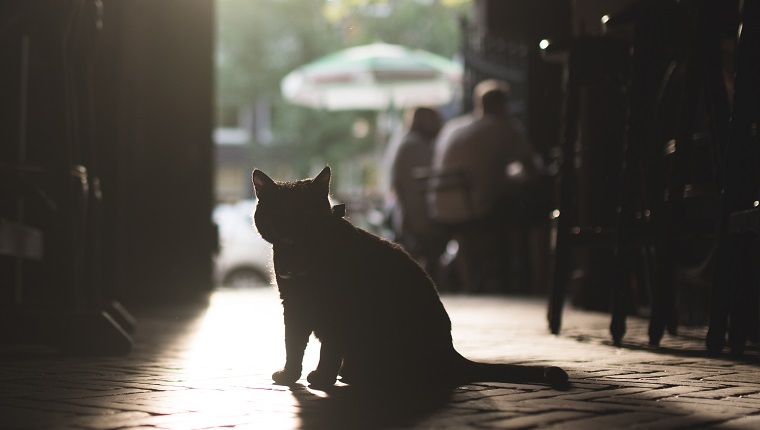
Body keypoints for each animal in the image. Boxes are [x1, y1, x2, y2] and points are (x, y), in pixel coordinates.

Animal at [252, 166, 568, 388]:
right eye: (280, 211)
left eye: (306, 212)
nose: (292, 226)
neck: (299, 254)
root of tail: (451, 353)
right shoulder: (293, 306)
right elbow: (292, 344)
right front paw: (289, 375)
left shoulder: (336, 310)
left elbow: (328, 348)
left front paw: (322, 378)